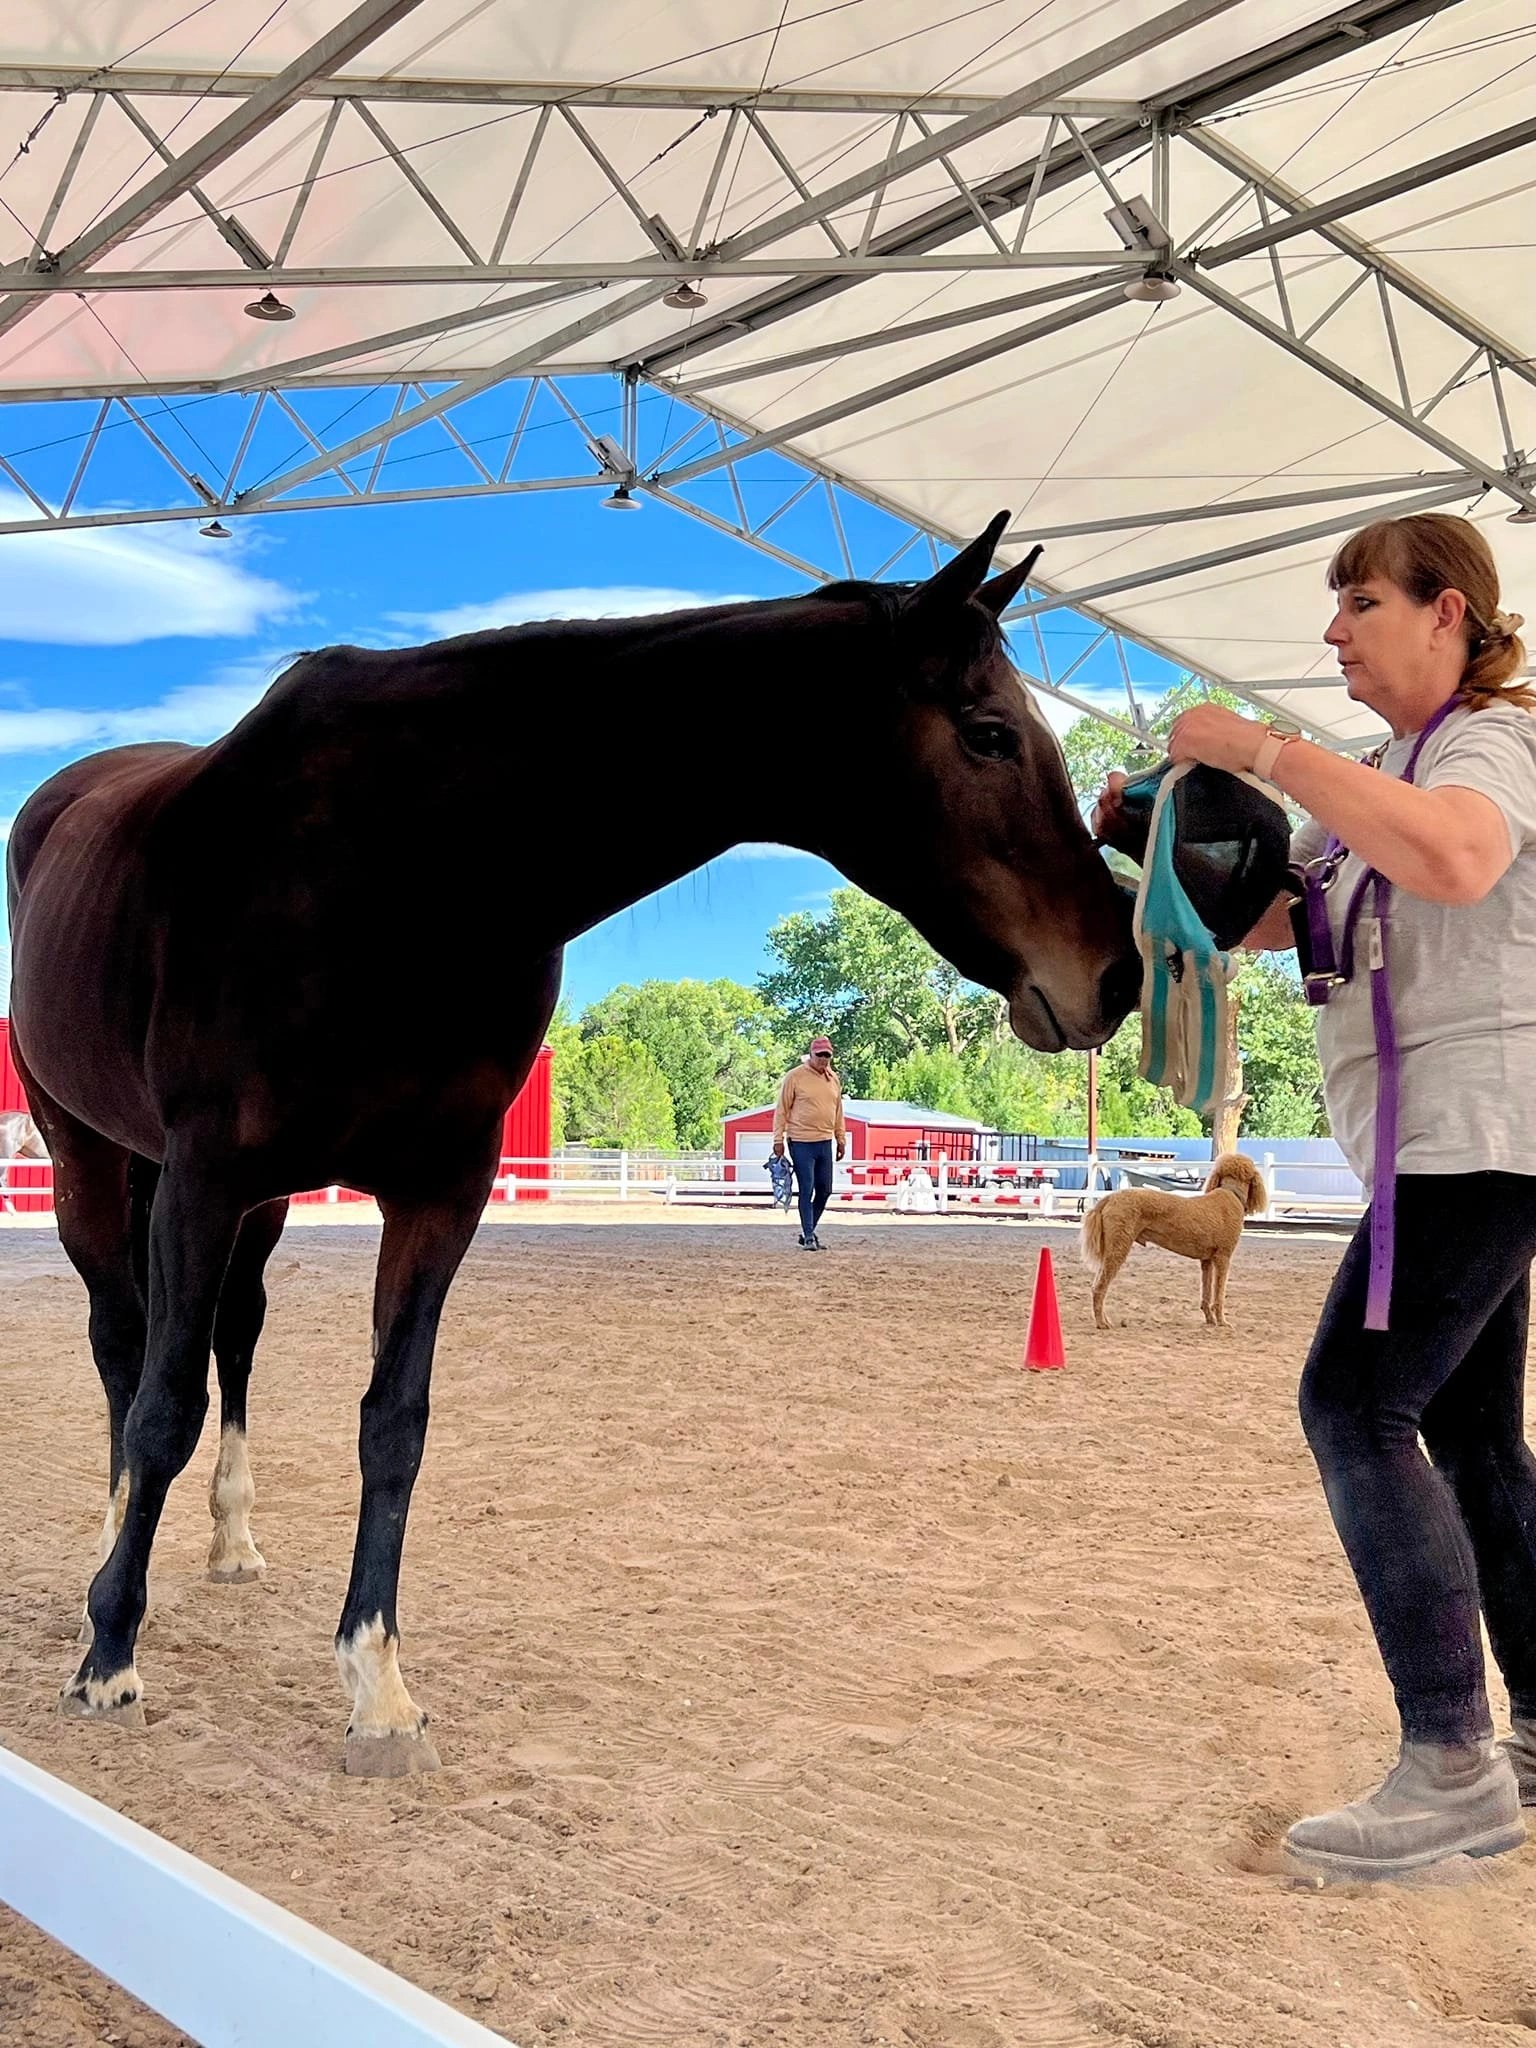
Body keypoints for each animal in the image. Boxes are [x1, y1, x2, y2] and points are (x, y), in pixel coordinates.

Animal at [6, 512, 1139, 1776]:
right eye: (989, 732)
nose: (1116, 973)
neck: (403, 854)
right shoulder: (205, 1176)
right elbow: (162, 1403)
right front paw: (110, 1650)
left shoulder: (433, 1191)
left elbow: (392, 1422)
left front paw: (378, 1686)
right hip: (97, 1160)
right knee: (126, 1348)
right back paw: (111, 1555)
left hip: (250, 1203)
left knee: (232, 1337)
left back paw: (228, 1540)